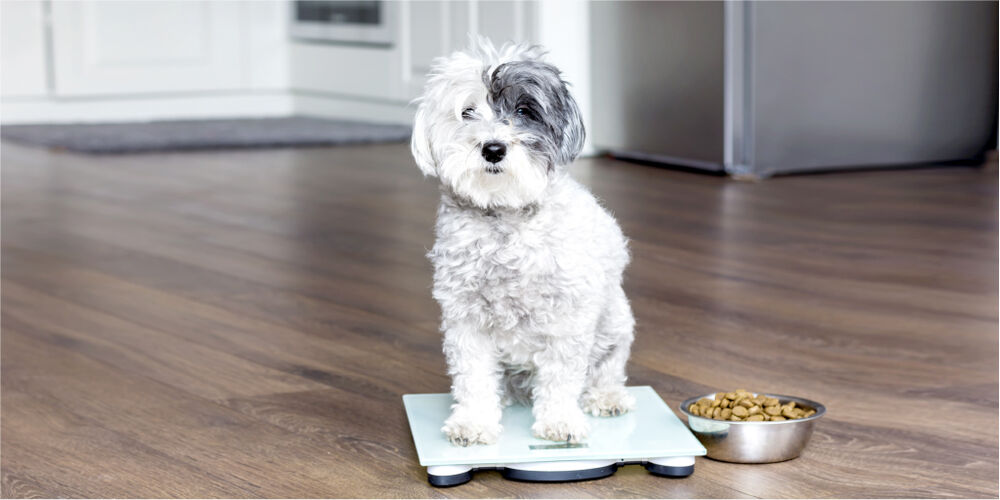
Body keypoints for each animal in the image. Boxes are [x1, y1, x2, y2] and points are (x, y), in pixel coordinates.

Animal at [412, 39, 632, 446]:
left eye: (523, 111)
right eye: (467, 112)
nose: (493, 148)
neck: (505, 218)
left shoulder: (568, 318)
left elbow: (562, 377)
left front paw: (559, 420)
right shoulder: (466, 318)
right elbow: (473, 376)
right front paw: (474, 421)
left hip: (614, 323)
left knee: (606, 368)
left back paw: (607, 396)